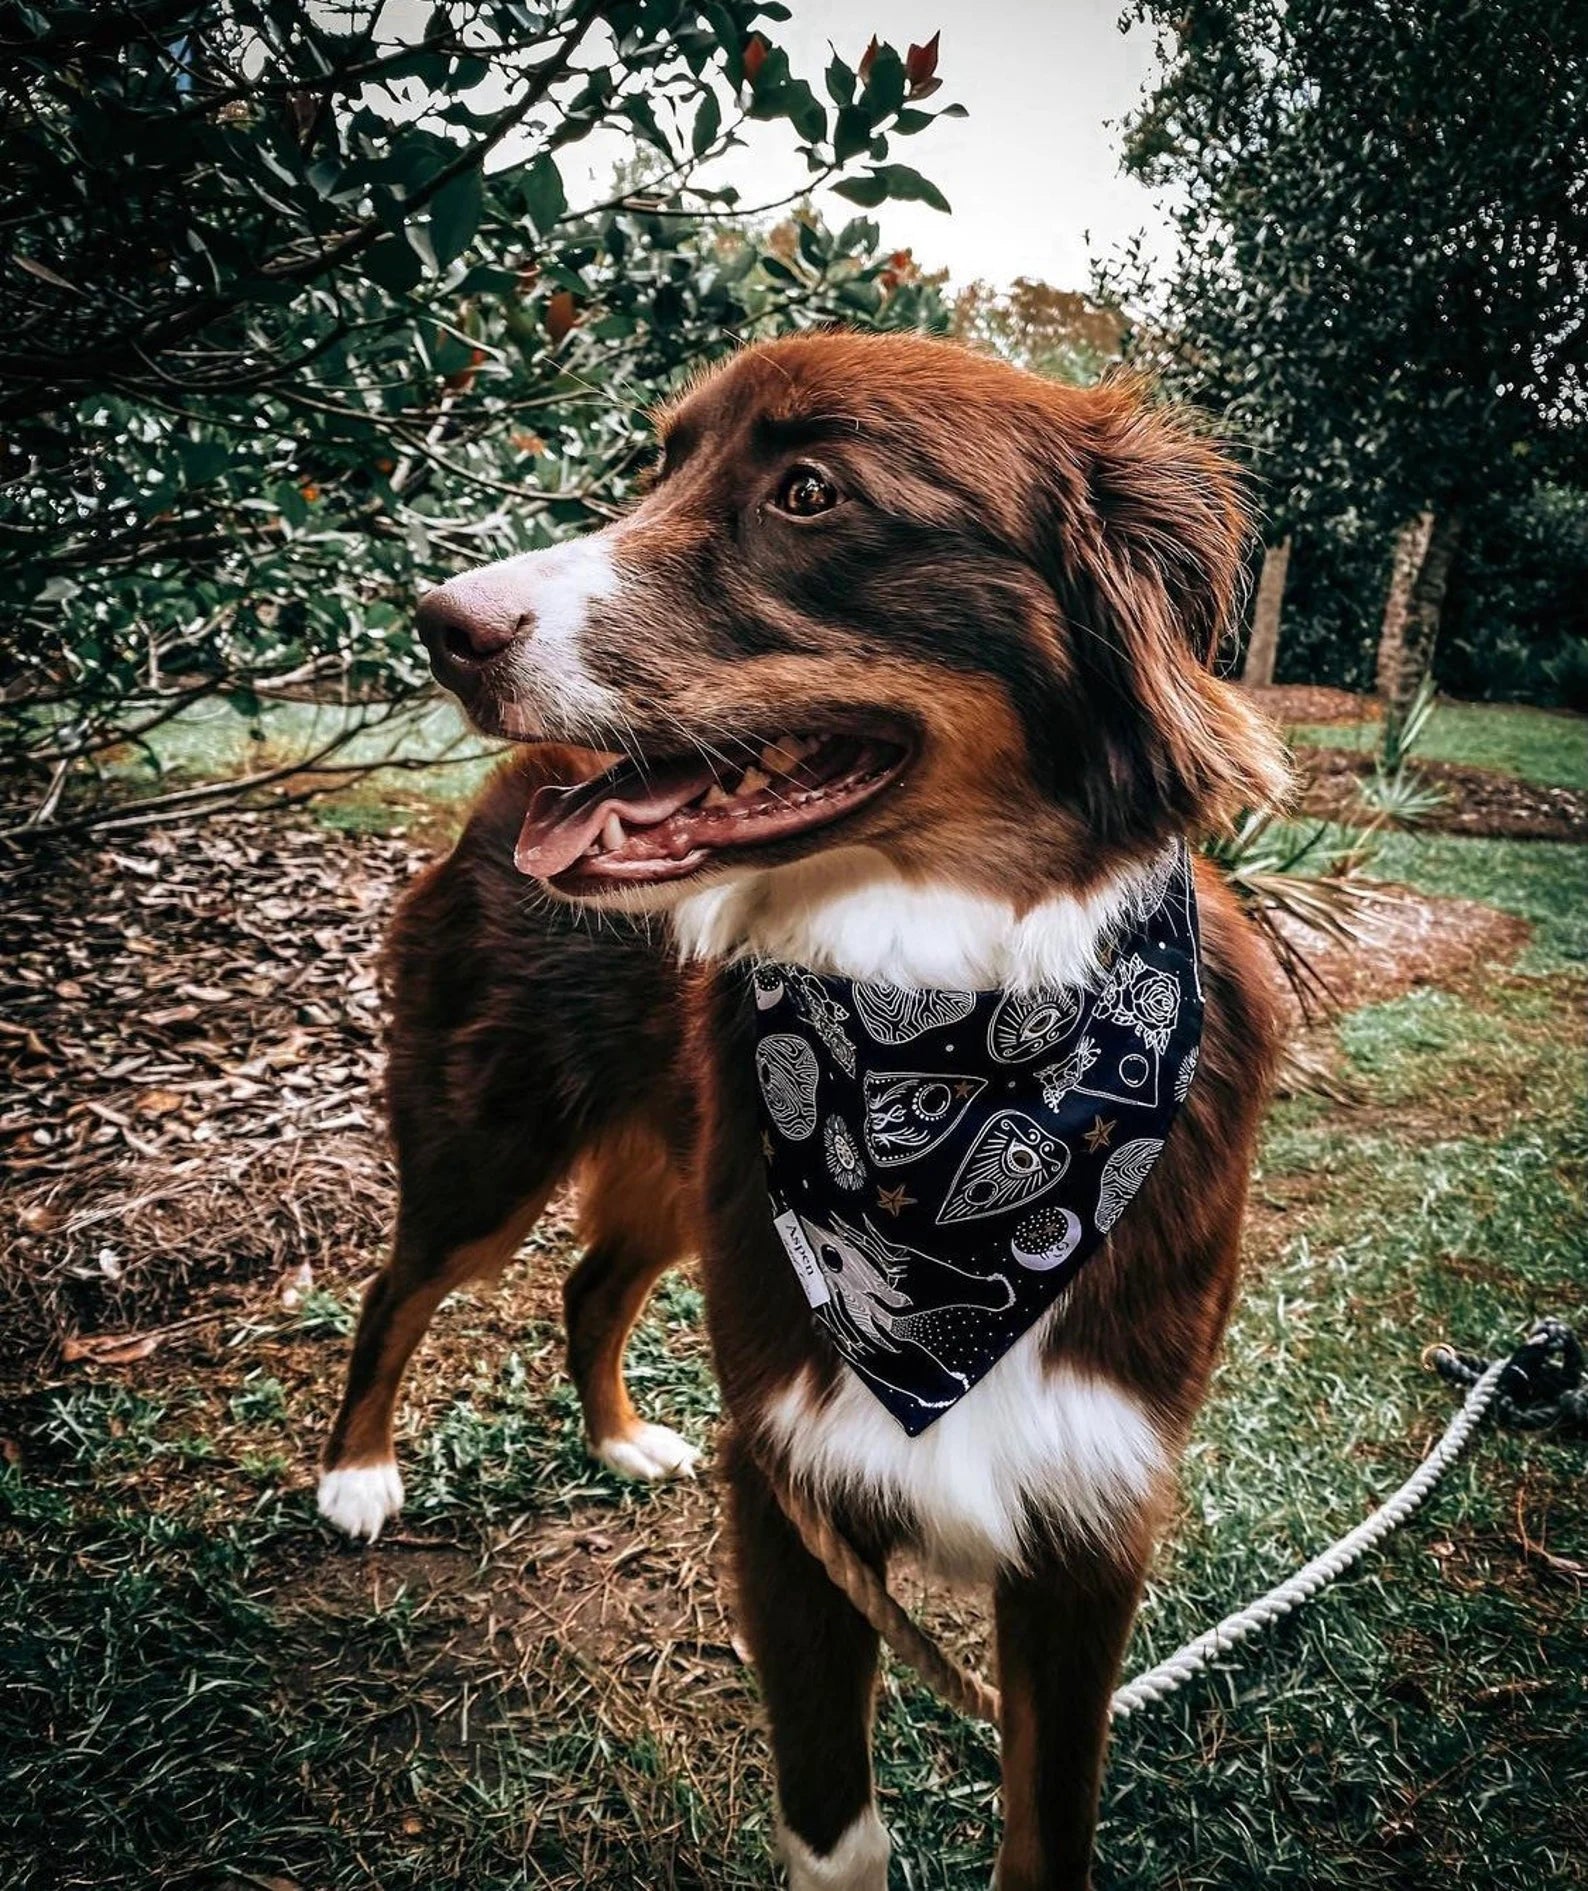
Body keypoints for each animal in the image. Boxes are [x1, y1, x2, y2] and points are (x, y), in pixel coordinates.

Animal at [315, 332, 1285, 1883]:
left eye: (811, 491)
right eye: (660, 462)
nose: (439, 622)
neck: (947, 1021)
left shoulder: (1088, 1524)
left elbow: (1047, 1827)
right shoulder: (794, 1488)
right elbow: (836, 1830)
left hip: (678, 1175)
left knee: (591, 1282)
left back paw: (616, 1437)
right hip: (494, 1148)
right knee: (401, 1287)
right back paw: (357, 1472)